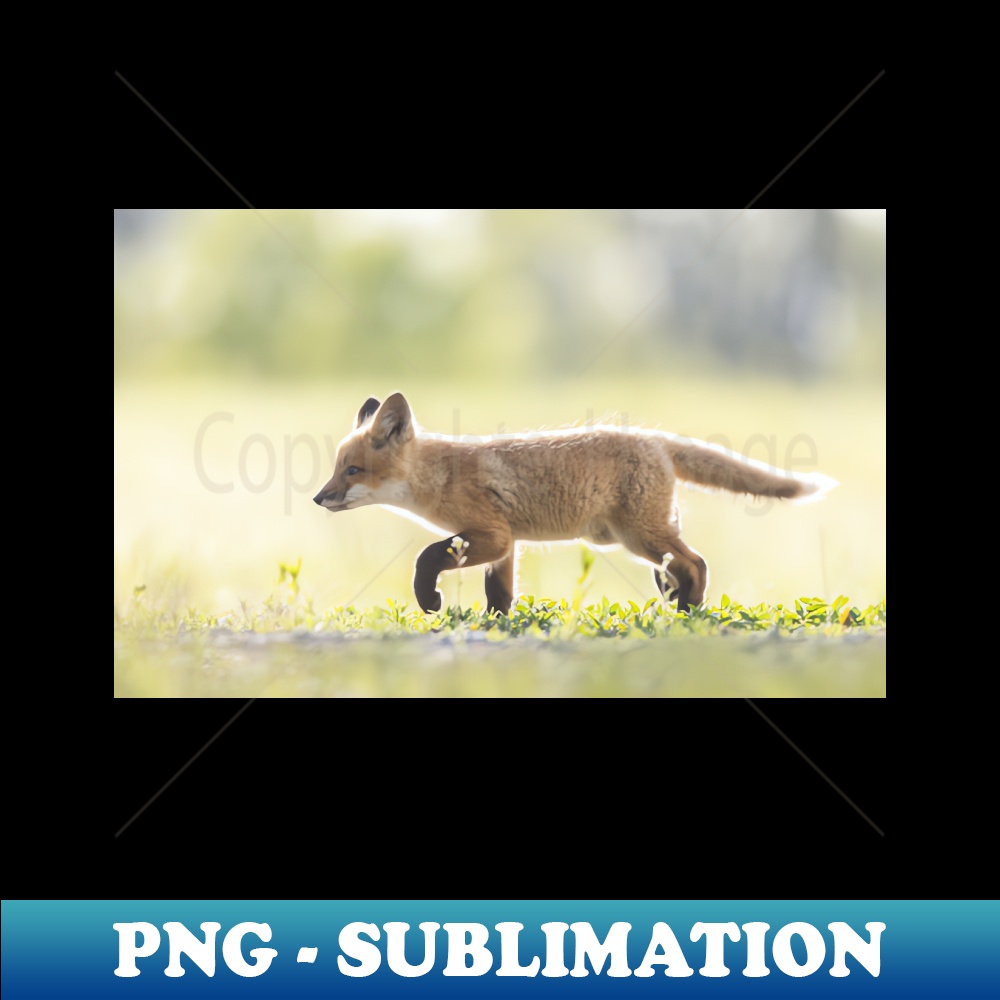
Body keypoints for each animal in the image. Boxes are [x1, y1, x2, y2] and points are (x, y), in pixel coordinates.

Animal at [313, 393, 837, 615]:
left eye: (352, 471)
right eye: (336, 469)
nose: (319, 497)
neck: (440, 476)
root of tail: (653, 438)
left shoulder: (492, 535)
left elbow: (426, 558)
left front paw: (430, 600)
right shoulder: (507, 544)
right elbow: (499, 596)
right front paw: (498, 628)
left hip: (638, 535)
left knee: (696, 563)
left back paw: (688, 612)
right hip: (635, 539)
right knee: (678, 565)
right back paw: (677, 603)